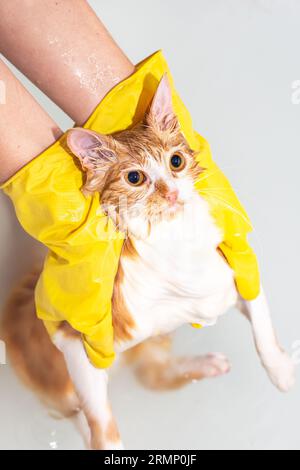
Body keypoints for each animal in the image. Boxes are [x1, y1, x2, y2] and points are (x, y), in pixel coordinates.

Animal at [0, 75, 296, 450]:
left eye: (176, 161)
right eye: (135, 178)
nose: (171, 192)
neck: (179, 247)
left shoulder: (235, 277)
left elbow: (262, 325)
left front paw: (281, 370)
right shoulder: (77, 342)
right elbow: (101, 423)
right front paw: (109, 445)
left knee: (152, 376)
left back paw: (207, 365)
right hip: (62, 379)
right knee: (79, 409)